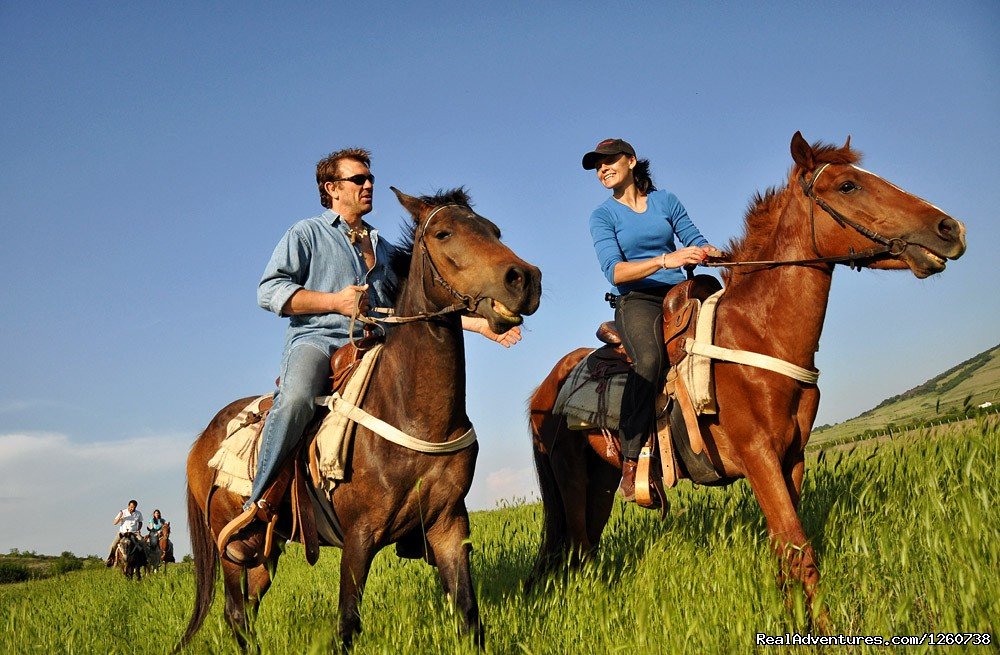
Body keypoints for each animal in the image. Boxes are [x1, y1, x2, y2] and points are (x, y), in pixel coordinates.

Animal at [176, 187, 544, 652]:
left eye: (495, 230)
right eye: (443, 232)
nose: (524, 279)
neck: (411, 412)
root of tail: (201, 440)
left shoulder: (448, 525)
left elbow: (468, 614)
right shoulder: (359, 537)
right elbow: (347, 623)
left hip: (268, 549)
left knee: (250, 606)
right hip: (232, 550)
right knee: (235, 611)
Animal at [528, 132, 964, 624]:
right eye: (848, 185)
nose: (949, 229)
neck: (760, 334)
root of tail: (546, 387)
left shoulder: (792, 457)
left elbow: (784, 548)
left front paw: (793, 619)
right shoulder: (759, 456)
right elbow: (798, 548)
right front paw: (823, 629)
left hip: (601, 479)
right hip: (571, 478)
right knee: (579, 547)